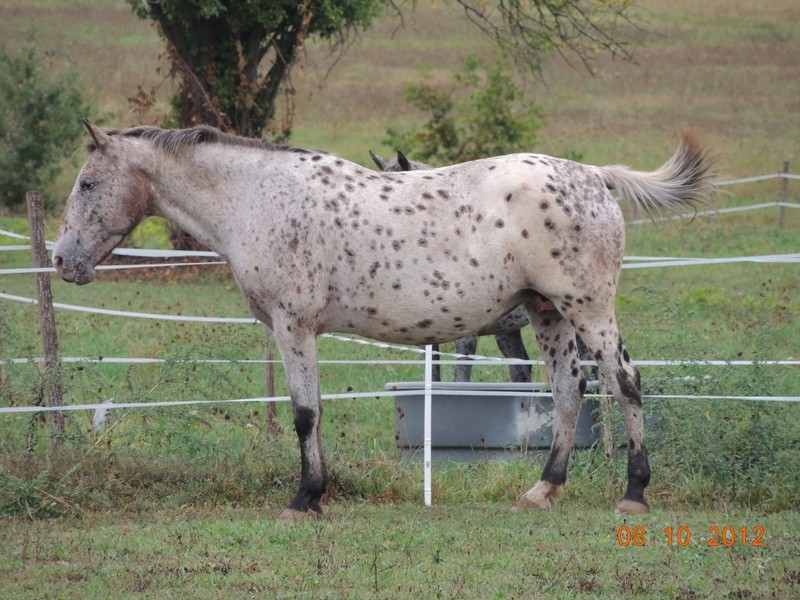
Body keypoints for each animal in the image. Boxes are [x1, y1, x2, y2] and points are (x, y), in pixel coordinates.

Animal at [53, 122, 716, 520]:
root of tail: (594, 177)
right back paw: (543, 489)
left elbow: (304, 414)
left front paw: (304, 499)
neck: (258, 198)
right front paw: (319, 493)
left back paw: (634, 493)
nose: (62, 260)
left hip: (587, 308)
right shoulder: (294, 332)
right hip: (546, 312)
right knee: (568, 389)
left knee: (623, 382)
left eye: (88, 183)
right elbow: (313, 411)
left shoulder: (293, 326)